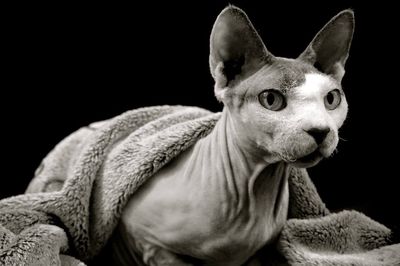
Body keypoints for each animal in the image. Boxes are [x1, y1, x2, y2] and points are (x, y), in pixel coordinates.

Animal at [111, 4, 354, 266]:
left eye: (331, 99)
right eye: (271, 99)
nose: (320, 131)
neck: (254, 193)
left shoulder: (261, 250)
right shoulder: (144, 238)